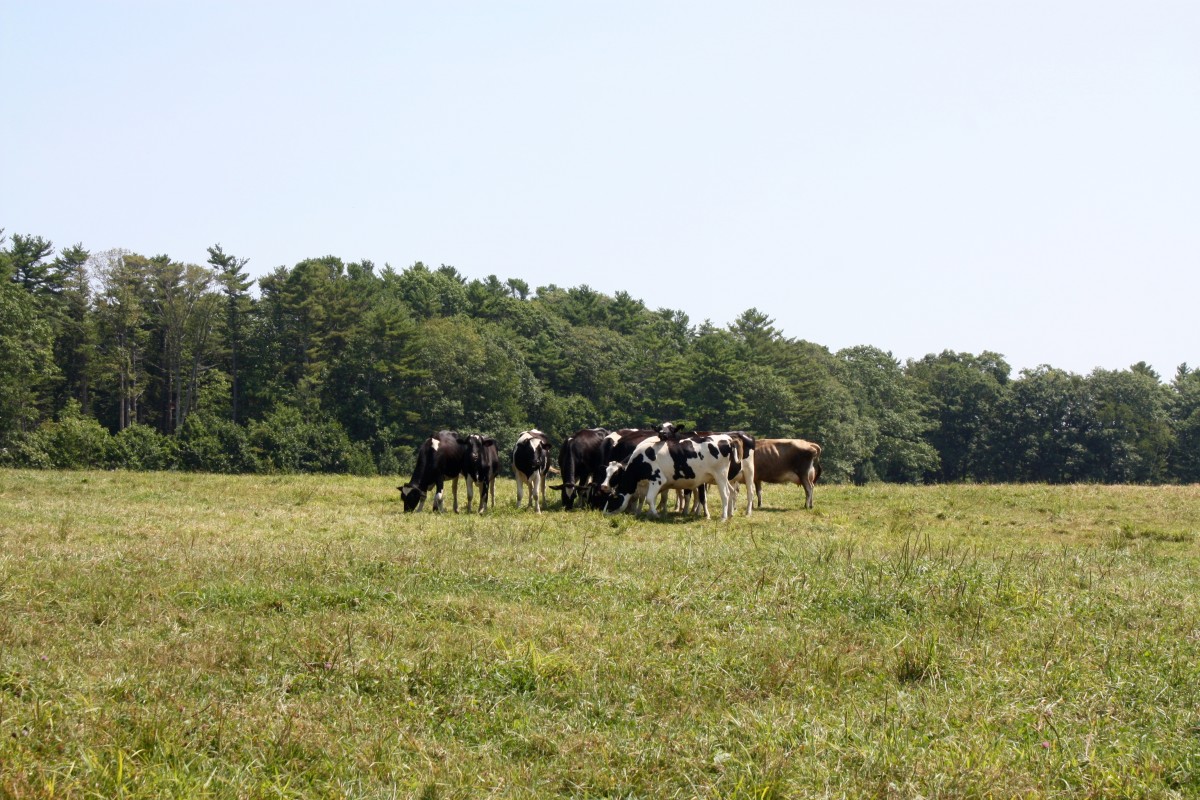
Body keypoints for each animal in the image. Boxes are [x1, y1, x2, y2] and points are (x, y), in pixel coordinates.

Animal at [597, 434, 739, 522]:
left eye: (613, 498)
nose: (603, 513)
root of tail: (727, 439)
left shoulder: (657, 479)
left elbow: (649, 498)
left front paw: (656, 515)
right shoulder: (647, 484)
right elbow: (646, 498)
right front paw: (645, 513)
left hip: (720, 475)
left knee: (725, 494)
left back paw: (723, 517)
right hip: (721, 477)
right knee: (732, 491)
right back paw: (730, 514)